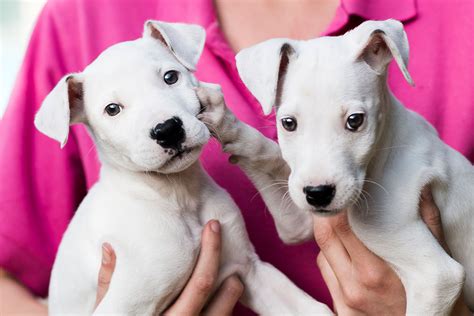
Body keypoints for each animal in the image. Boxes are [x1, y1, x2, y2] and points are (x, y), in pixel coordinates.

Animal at [35, 20, 332, 316]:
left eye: (170, 77)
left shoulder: (250, 269)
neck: (176, 195)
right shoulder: (124, 305)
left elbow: (316, 309)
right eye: (112, 109)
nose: (167, 130)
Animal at [199, 18, 474, 314]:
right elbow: (269, 154)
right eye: (288, 123)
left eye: (355, 120)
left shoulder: (436, 276)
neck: (384, 151)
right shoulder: (298, 222)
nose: (318, 194)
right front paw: (225, 122)